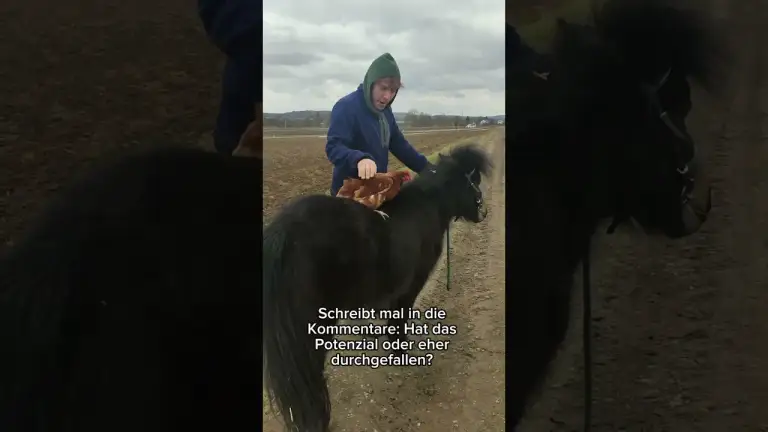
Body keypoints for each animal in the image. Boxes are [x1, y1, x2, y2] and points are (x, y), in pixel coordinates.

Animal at [262, 144, 492, 431]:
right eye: (473, 182)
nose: (484, 212)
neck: (428, 207)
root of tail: (285, 231)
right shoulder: (410, 286)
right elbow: (400, 318)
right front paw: (400, 352)